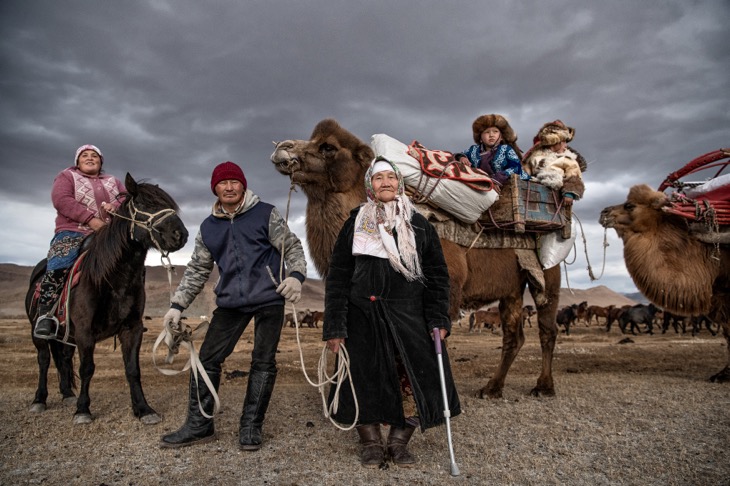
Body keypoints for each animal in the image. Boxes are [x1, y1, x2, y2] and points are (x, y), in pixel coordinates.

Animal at [26, 173, 188, 424]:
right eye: (145, 204)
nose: (181, 235)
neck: (112, 279)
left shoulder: (132, 328)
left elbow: (132, 369)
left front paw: (144, 409)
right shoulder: (85, 331)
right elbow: (87, 369)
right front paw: (83, 410)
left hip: (66, 335)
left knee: (63, 358)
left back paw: (67, 395)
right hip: (39, 332)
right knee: (43, 360)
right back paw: (39, 400)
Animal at [270, 118, 560, 398]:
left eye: (327, 146)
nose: (282, 148)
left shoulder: (444, 290)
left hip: (548, 272)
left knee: (547, 329)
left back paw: (543, 386)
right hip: (512, 288)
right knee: (514, 336)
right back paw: (492, 388)